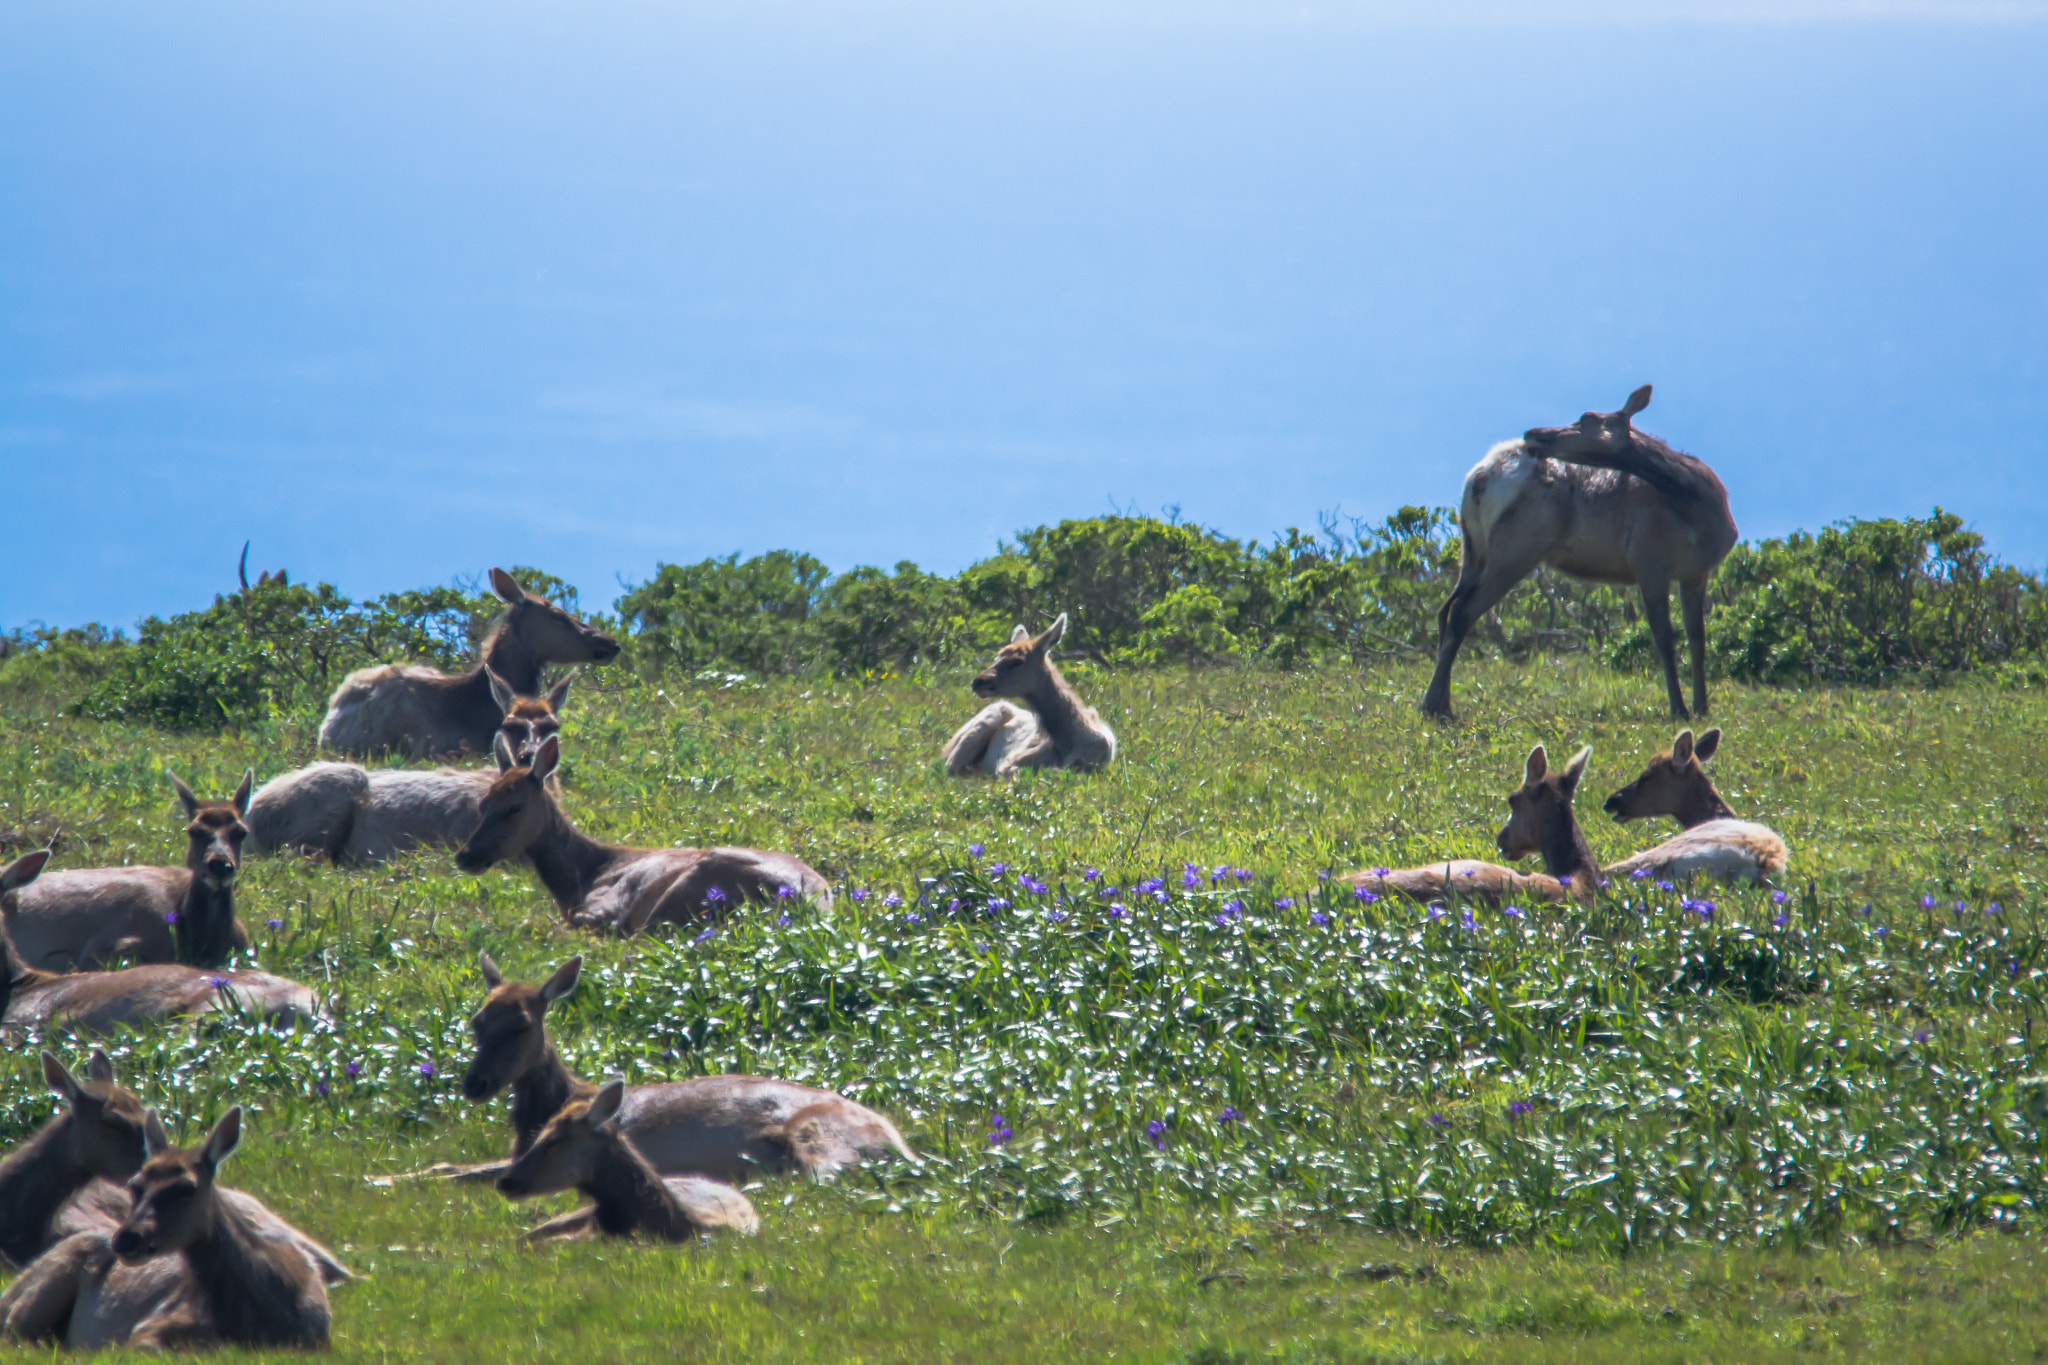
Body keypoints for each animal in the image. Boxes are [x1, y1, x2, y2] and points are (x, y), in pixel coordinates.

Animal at [412, 952, 913, 1190]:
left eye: (521, 1024)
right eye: (476, 1021)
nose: (474, 1083)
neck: (551, 1109)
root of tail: (900, 1144)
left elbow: (463, 1173)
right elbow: (448, 1164)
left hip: (818, 1135)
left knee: (824, 1179)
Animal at [456, 734, 835, 934]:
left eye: (514, 807)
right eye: (483, 802)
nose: (465, 856)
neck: (579, 876)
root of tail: (814, 901)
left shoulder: (608, 904)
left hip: (687, 892)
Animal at [943, 613, 1117, 778]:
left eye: (1017, 661)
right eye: (997, 657)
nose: (978, 682)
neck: (1069, 743)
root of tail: (946, 746)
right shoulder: (1010, 760)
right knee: (949, 767)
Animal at [1420, 385, 1739, 722]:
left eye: (1586, 417)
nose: (1534, 433)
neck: (1701, 508)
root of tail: (1478, 478)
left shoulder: (1696, 572)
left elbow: (1698, 639)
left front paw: (1702, 707)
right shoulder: (1648, 561)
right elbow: (1664, 638)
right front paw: (1678, 709)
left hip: (1472, 551)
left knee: (1445, 610)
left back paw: (1441, 703)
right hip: (1516, 549)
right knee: (1462, 612)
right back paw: (1434, 706)